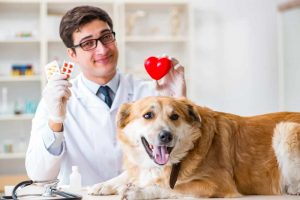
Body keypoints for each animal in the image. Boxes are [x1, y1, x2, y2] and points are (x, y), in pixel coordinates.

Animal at [89, 96, 300, 198]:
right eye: (148, 115)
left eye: (175, 116)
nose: (166, 136)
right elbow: (129, 174)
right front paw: (102, 185)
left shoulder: (216, 183)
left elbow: (170, 187)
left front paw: (139, 191)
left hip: (285, 129)